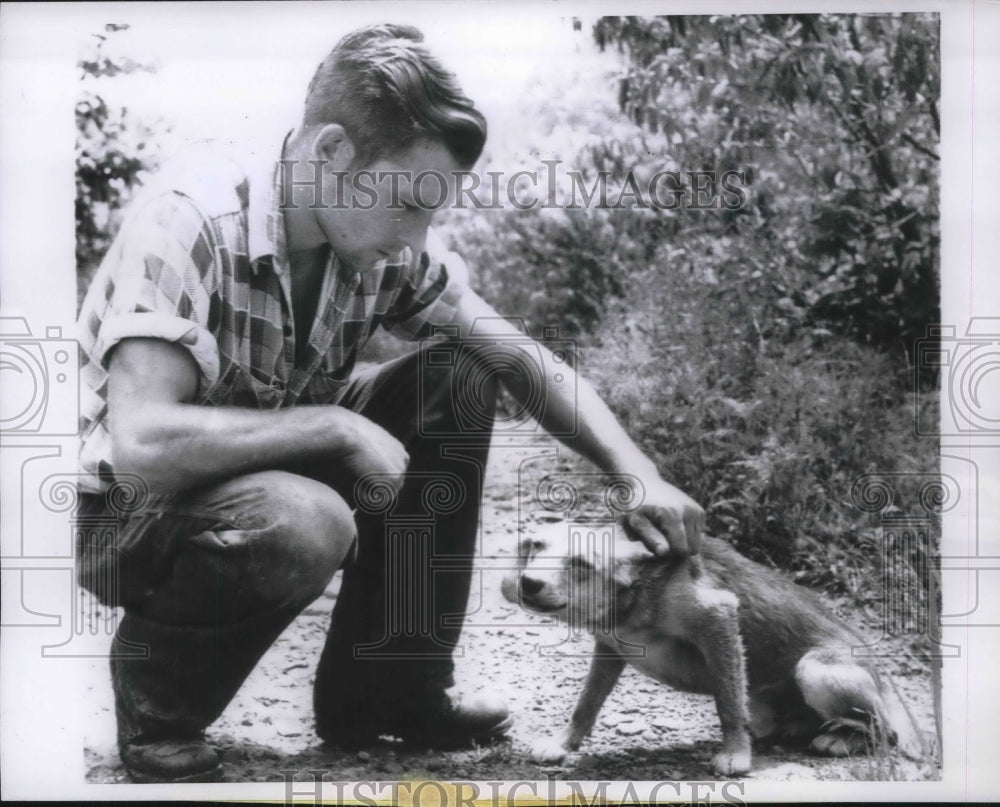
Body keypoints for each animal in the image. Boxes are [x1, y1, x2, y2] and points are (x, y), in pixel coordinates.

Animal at [504, 524, 916, 776]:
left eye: (581, 564)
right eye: (535, 547)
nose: (528, 582)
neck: (636, 591)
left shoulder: (719, 618)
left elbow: (728, 704)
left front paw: (735, 754)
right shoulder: (609, 648)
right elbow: (585, 705)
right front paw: (563, 743)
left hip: (816, 671)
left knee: (886, 732)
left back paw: (838, 739)